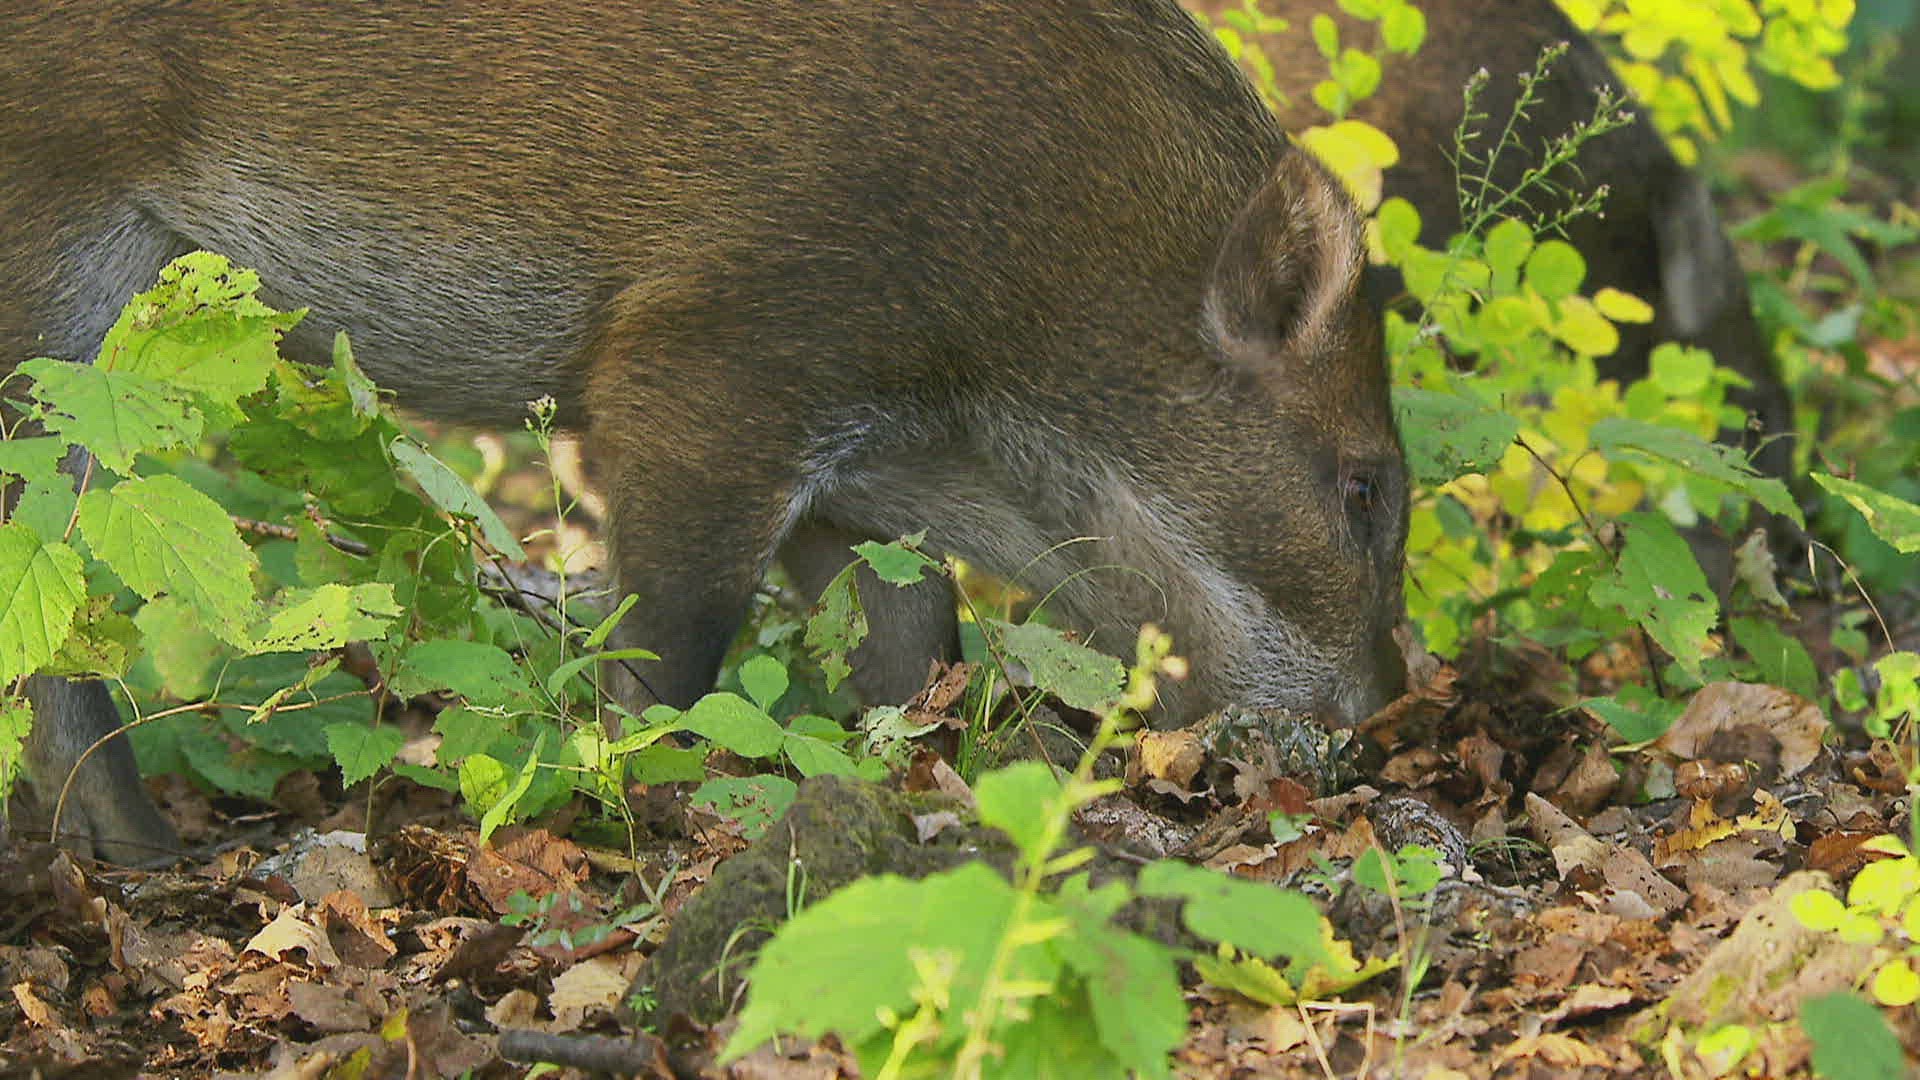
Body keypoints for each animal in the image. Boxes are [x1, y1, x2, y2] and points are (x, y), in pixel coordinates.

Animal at [1, 0, 1408, 863]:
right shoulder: (703, 371)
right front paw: (644, 814)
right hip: (57, 265)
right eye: (1362, 487)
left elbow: (914, 658)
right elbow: (672, 655)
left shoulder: (858, 486)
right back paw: (139, 854)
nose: (1392, 711)